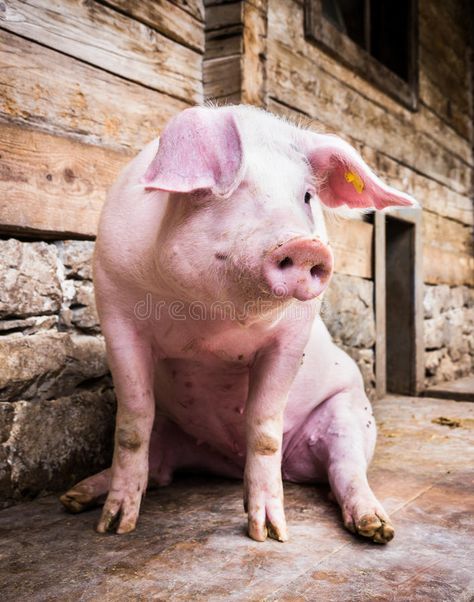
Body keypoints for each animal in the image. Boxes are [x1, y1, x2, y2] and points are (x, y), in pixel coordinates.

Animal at [60, 108, 414, 544]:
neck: (209, 321)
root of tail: (225, 463)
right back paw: (74, 497)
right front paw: (114, 528)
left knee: (345, 469)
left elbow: (264, 429)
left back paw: (377, 528)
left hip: (351, 412)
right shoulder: (114, 310)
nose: (305, 246)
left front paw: (270, 535)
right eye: (236, 188)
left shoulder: (292, 336)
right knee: (157, 467)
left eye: (306, 196)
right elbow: (132, 423)